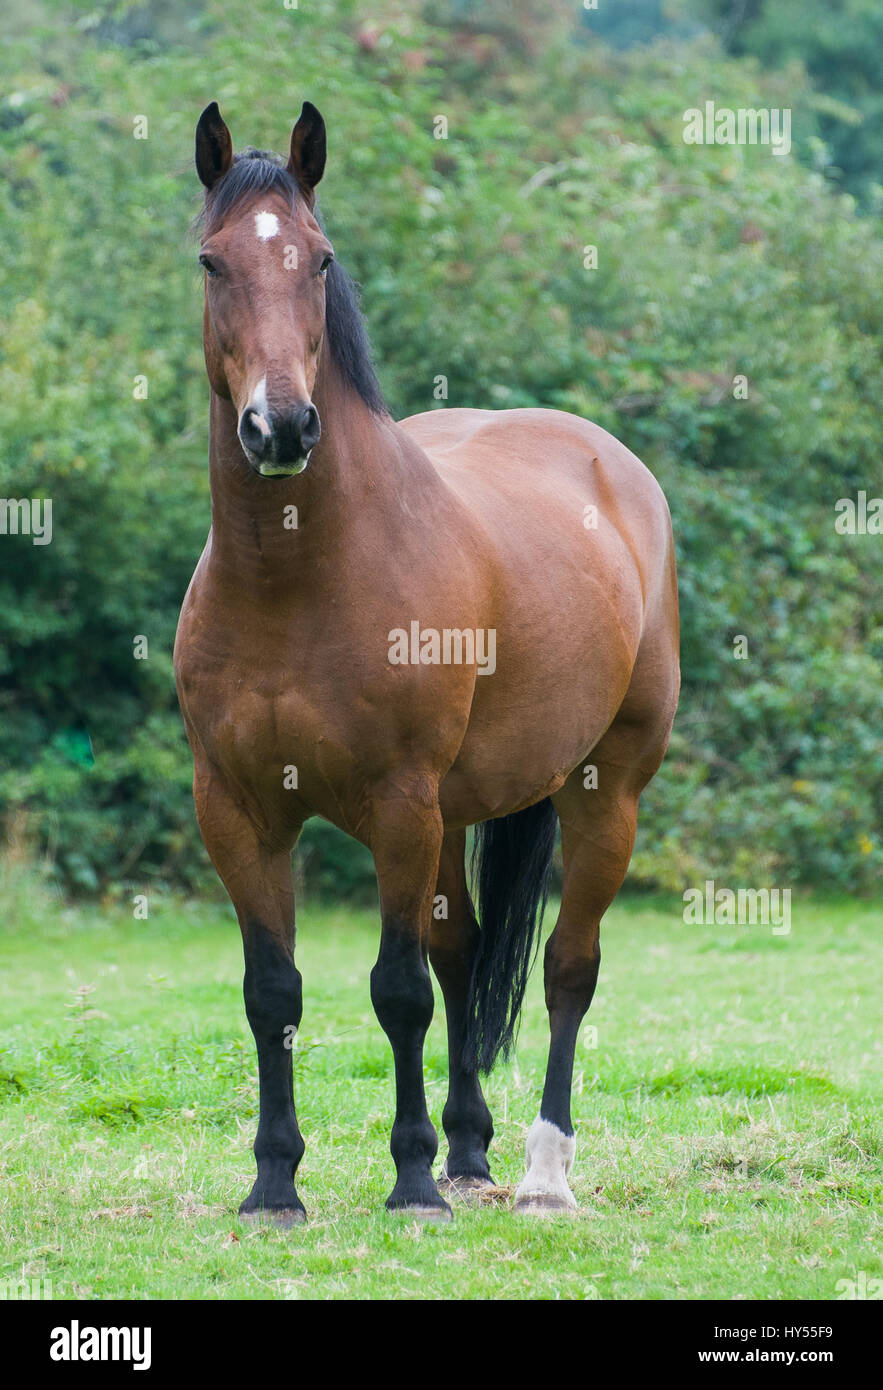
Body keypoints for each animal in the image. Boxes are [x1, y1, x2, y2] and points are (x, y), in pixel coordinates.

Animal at [174, 100, 684, 1228]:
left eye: (319, 259)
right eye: (211, 261)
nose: (281, 426)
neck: (293, 580)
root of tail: (606, 461)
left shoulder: (398, 805)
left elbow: (396, 989)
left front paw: (407, 1181)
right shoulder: (237, 809)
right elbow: (272, 993)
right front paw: (274, 1181)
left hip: (603, 790)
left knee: (566, 967)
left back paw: (540, 1171)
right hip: (456, 816)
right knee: (462, 959)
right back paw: (469, 1150)